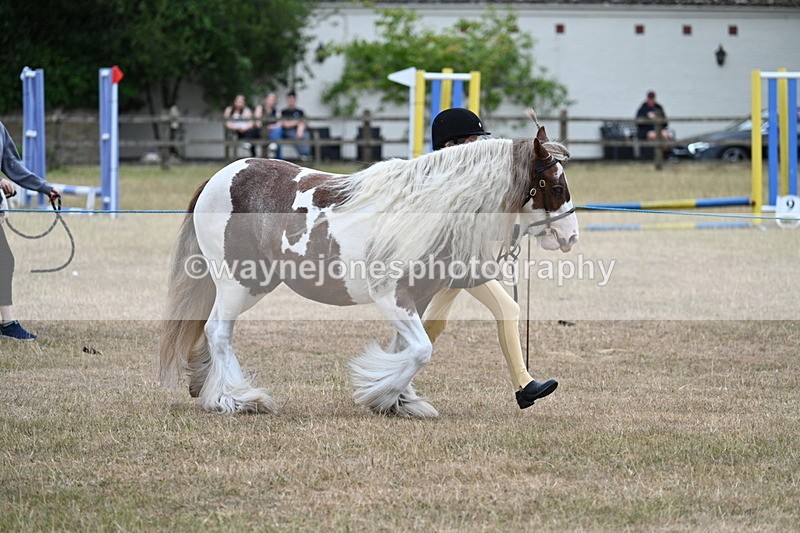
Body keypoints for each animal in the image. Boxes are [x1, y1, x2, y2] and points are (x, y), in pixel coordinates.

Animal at [158, 116, 578, 418]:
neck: (427, 208)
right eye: (556, 187)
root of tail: (217, 179)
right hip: (236, 281)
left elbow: (408, 348)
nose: (571, 236)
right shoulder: (392, 296)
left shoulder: (418, 298)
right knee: (218, 332)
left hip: (256, 284)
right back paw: (238, 399)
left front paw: (401, 401)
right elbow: (420, 350)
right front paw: (380, 393)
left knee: (214, 331)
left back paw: (207, 388)